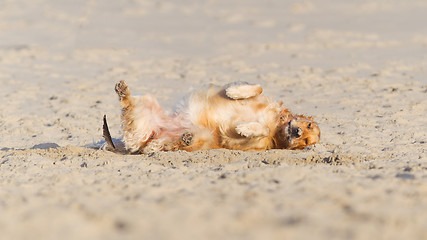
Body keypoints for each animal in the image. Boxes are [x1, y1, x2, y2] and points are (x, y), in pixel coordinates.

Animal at [108, 79, 320, 153]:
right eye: (309, 126)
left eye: (306, 142)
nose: (297, 132)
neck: (278, 125)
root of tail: (153, 133)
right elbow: (258, 87)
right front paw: (234, 92)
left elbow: (262, 129)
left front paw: (245, 127)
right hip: (147, 102)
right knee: (128, 104)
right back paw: (123, 91)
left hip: (204, 138)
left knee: (170, 145)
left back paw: (185, 138)